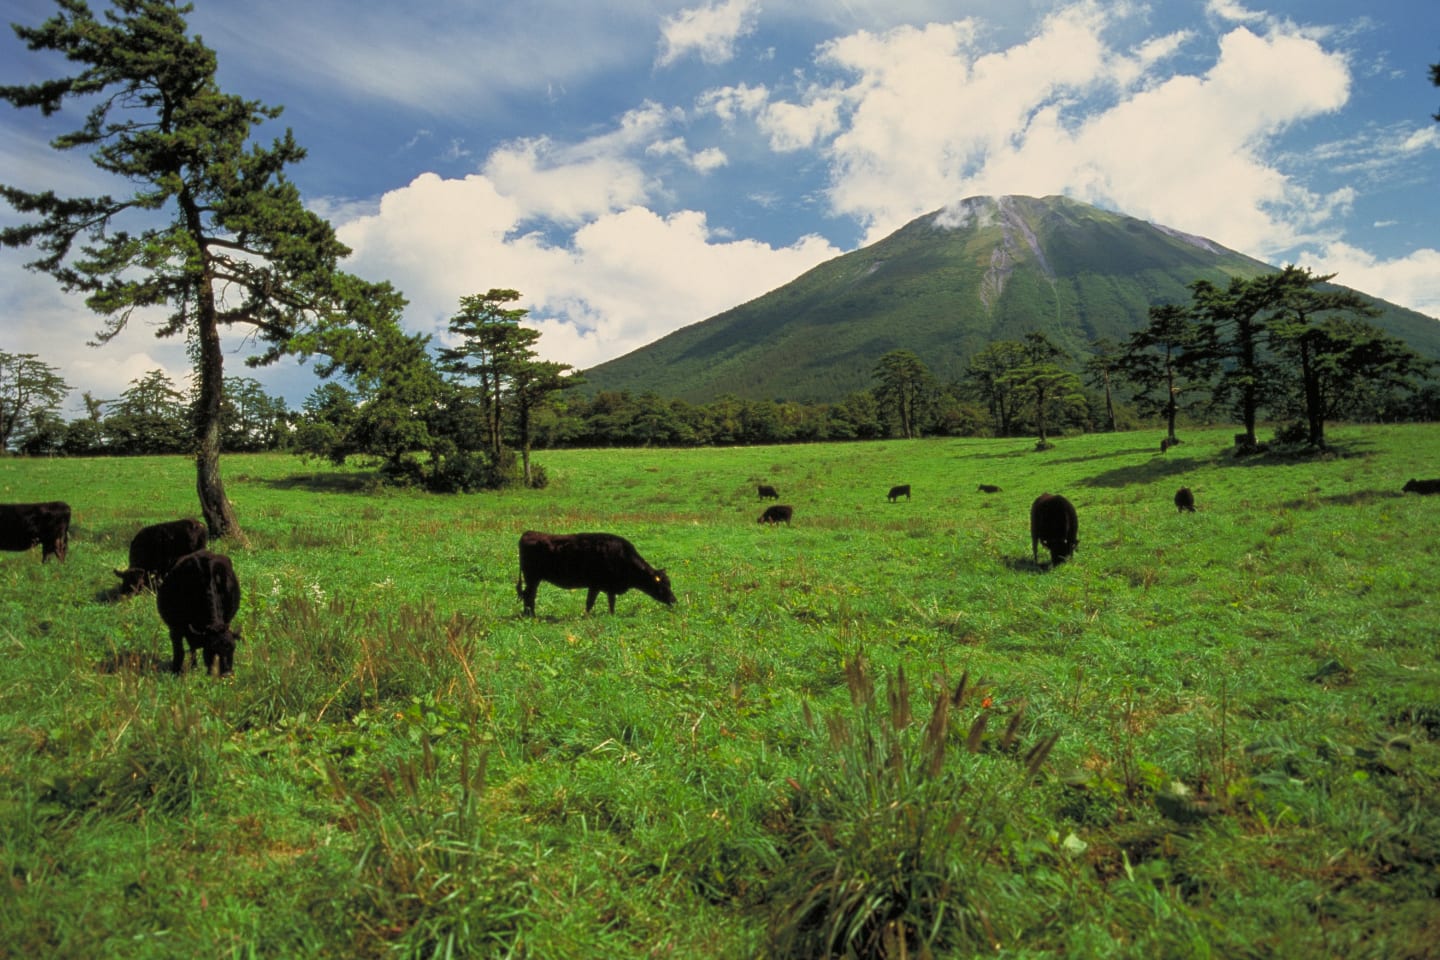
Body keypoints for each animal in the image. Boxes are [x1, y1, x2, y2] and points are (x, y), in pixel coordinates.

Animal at [156, 546, 240, 676]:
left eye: (233, 648)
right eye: (212, 649)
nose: (226, 673)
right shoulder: (176, 628)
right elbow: (180, 650)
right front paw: (176, 670)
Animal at [518, 532, 673, 616]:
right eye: (663, 585)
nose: (674, 600)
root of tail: (528, 533)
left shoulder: (607, 587)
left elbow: (610, 602)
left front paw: (611, 615)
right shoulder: (597, 585)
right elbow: (591, 602)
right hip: (532, 578)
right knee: (529, 596)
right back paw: (531, 615)